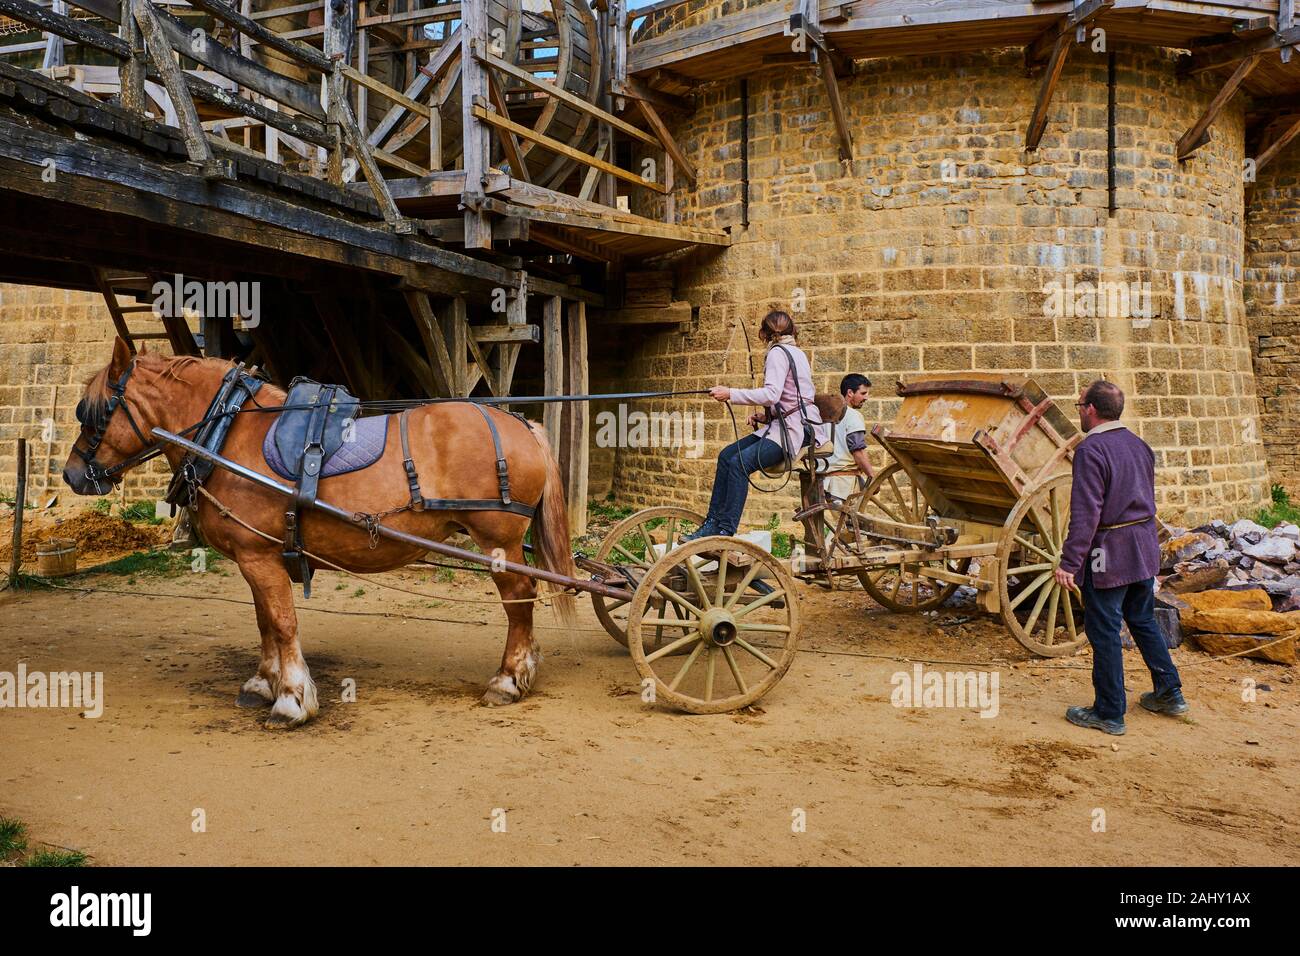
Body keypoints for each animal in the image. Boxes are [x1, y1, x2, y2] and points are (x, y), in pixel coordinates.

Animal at [63, 340, 577, 728]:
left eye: (94, 411)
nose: (70, 475)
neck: (226, 431)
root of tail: (522, 424)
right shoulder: (257, 556)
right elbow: (264, 621)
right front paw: (262, 682)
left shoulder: (257, 555)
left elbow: (283, 622)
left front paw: (290, 699)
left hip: (499, 542)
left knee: (520, 599)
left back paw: (508, 678)